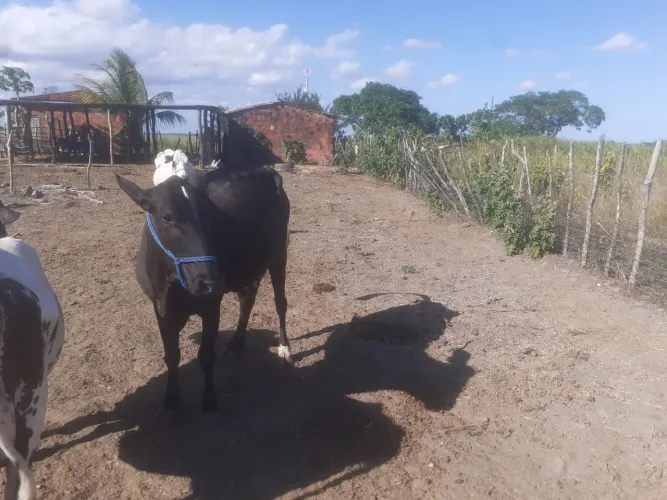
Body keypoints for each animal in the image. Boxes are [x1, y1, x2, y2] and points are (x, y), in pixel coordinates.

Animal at [115, 151, 292, 415]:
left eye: (209, 214)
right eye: (166, 217)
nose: (209, 280)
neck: (174, 284)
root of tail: (265, 170)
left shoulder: (211, 305)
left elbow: (206, 355)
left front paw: (209, 399)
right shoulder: (159, 306)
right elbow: (171, 355)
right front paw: (171, 399)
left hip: (279, 253)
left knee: (280, 302)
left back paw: (284, 347)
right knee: (247, 300)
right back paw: (236, 343)